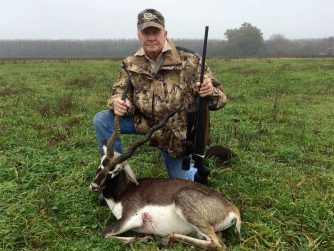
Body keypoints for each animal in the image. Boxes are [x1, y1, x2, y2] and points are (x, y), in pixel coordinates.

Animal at [89, 111, 240, 250]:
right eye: (101, 163)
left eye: (115, 170)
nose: (94, 185)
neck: (123, 191)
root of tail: (232, 208)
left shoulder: (131, 218)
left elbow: (103, 234)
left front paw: (146, 238)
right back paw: (167, 239)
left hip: (185, 205)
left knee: (217, 245)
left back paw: (166, 239)